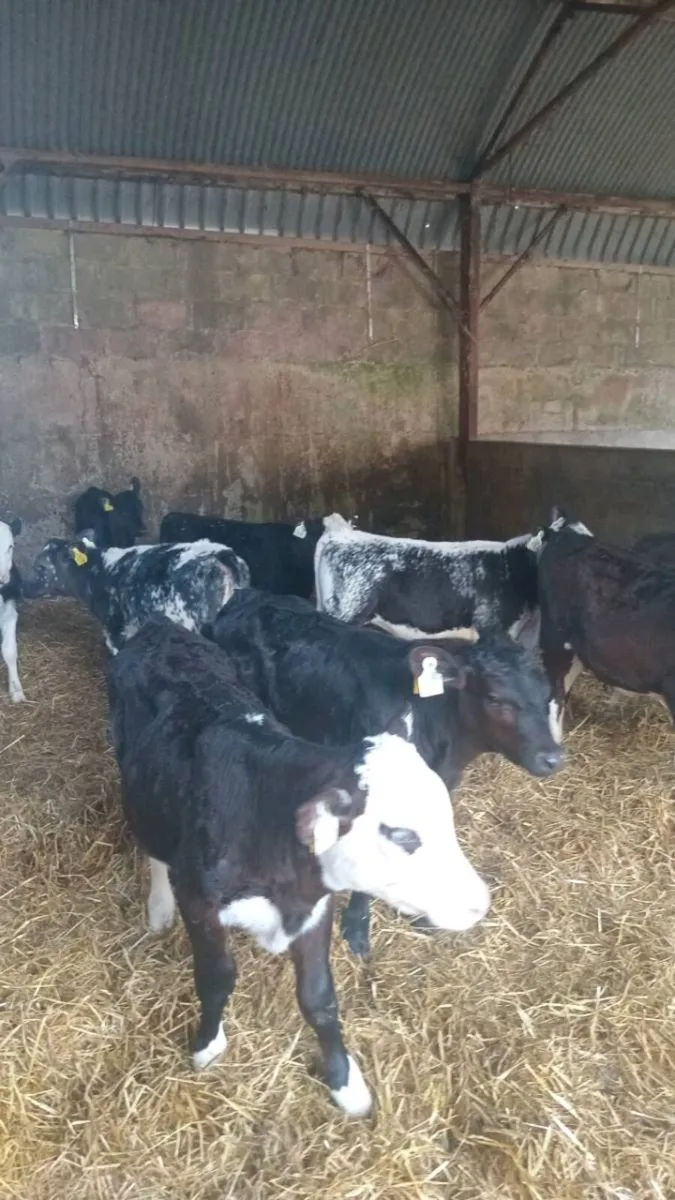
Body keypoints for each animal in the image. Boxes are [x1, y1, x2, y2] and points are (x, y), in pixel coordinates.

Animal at [107, 618, 490, 1117]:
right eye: (401, 834)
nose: (480, 903)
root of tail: (160, 628)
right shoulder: (200, 901)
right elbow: (216, 978)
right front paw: (207, 1045)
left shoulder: (315, 907)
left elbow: (319, 998)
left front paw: (345, 1083)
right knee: (152, 845)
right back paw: (158, 907)